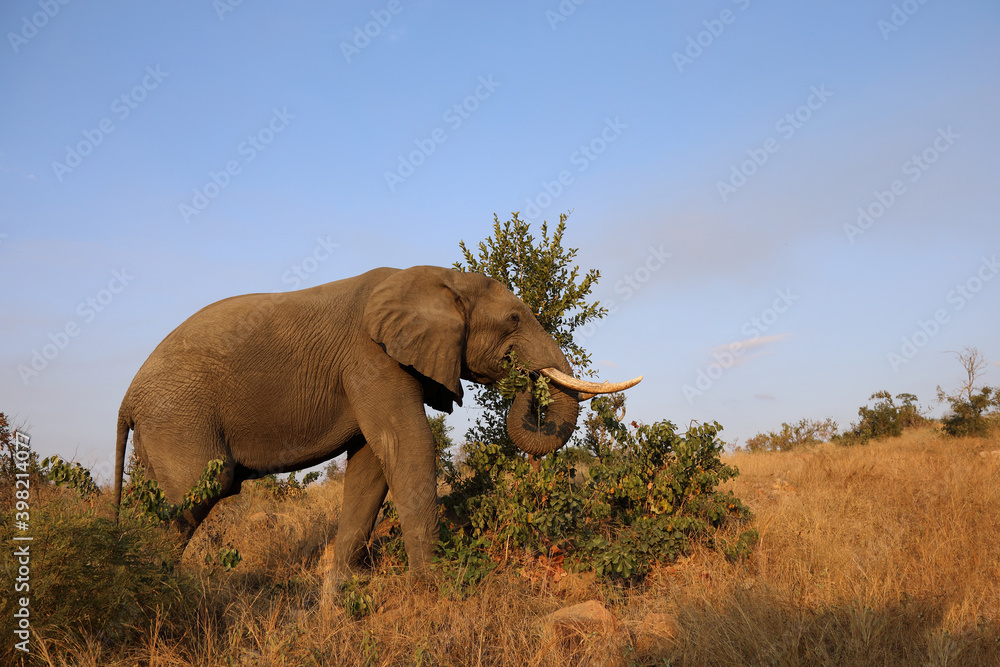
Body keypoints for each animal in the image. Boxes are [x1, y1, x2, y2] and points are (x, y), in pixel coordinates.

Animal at [113, 265, 640, 586]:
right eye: (513, 319)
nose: (526, 379)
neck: (437, 278)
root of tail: (127, 396)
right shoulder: (372, 359)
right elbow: (407, 446)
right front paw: (433, 586)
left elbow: (370, 465)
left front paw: (339, 590)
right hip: (178, 416)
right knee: (199, 490)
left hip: (161, 428)